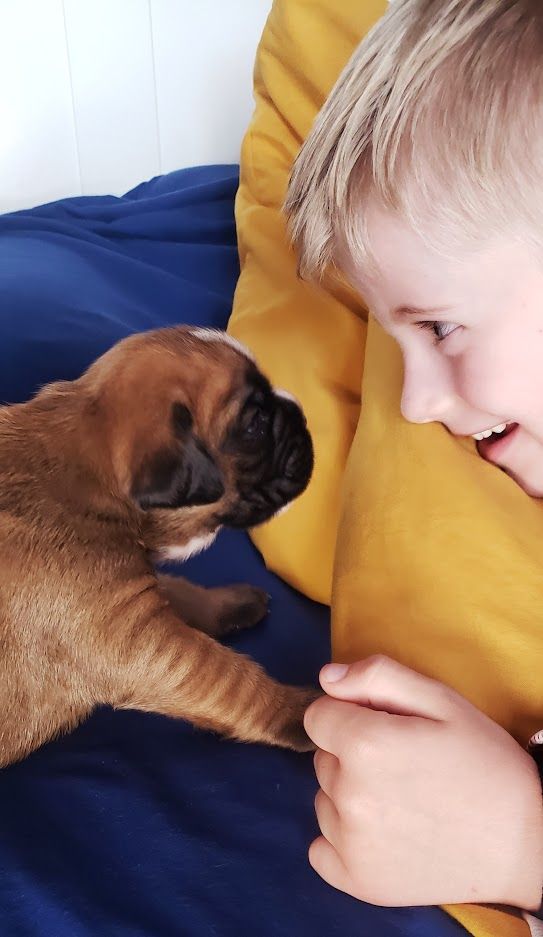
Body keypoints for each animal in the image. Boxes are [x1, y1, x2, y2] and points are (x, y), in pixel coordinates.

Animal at [0, 326, 316, 764]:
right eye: (255, 424)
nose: (302, 412)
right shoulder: (139, 640)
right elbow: (234, 682)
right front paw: (302, 712)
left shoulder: (137, 592)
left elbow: (182, 592)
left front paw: (232, 603)